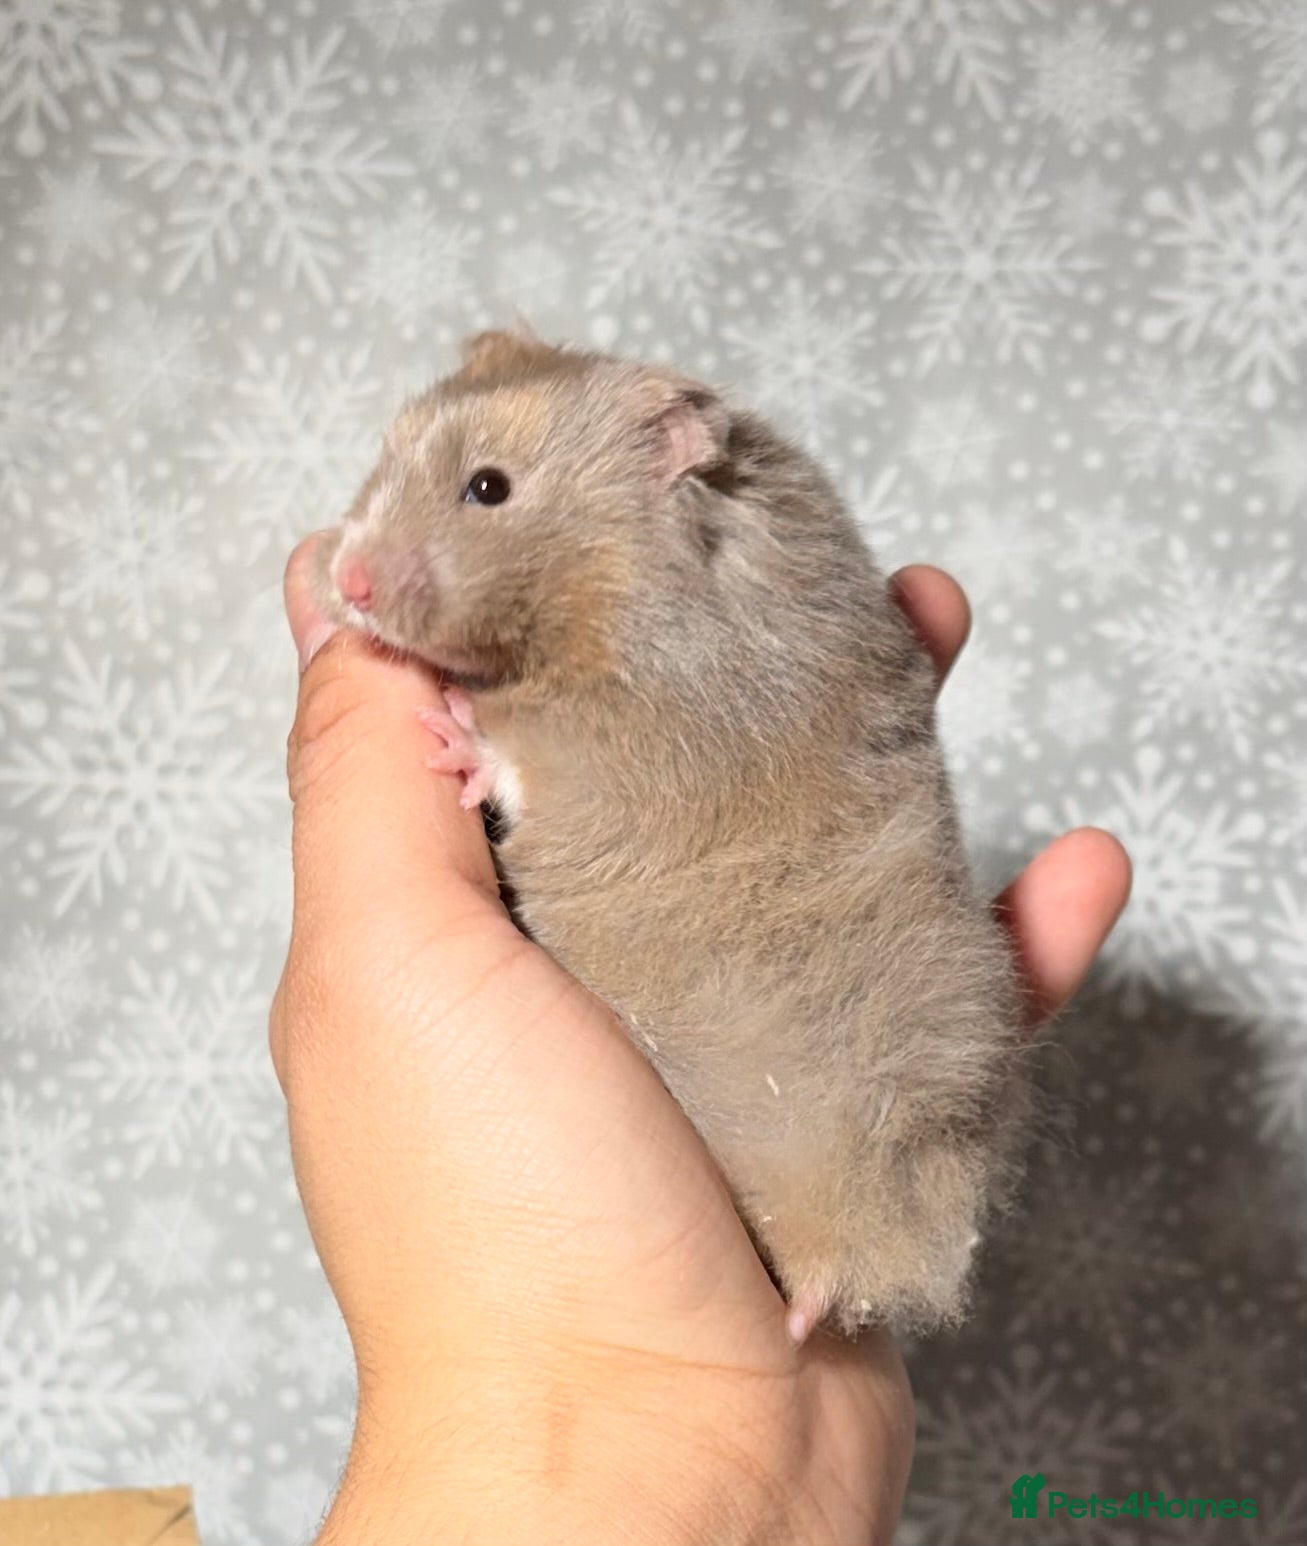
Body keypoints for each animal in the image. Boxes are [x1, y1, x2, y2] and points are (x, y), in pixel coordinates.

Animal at [312, 328, 1028, 1339]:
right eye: (384, 456)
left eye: (488, 486)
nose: (345, 578)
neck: (616, 582)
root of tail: (869, 1259)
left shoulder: (650, 744)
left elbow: (539, 756)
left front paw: (456, 732)